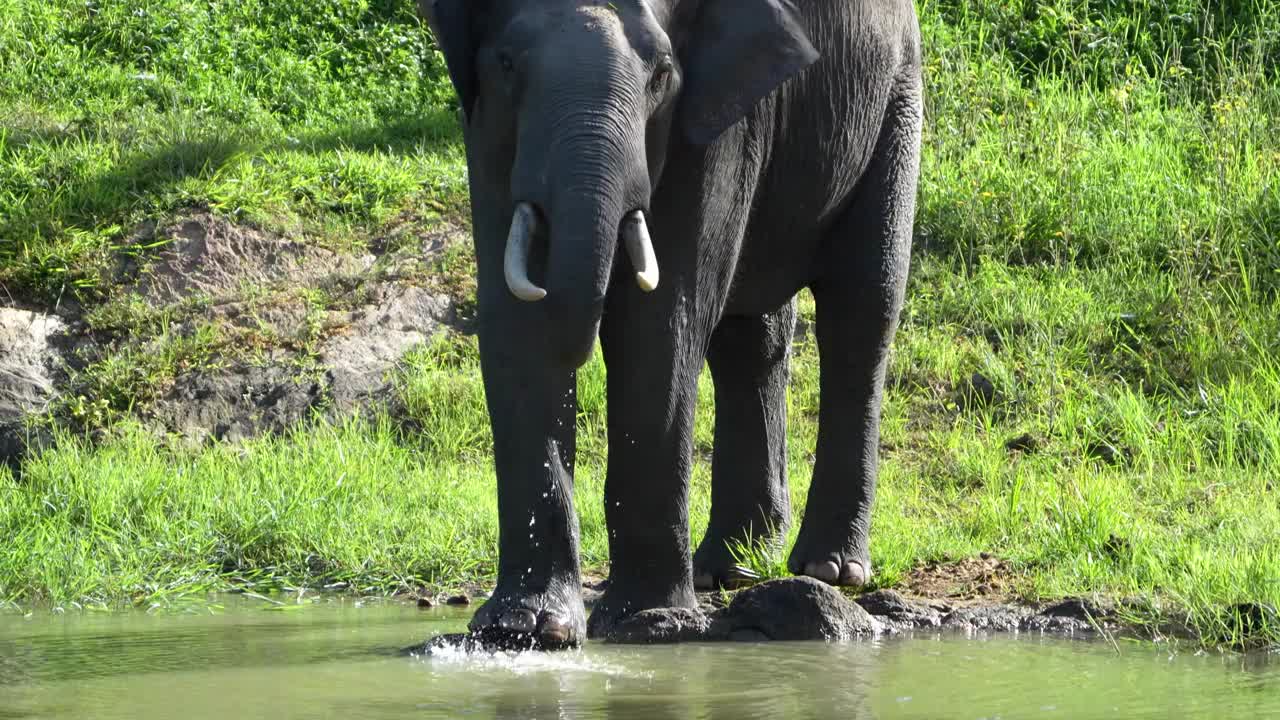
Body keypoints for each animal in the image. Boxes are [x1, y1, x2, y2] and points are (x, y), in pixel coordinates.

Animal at [419, 0, 921, 648]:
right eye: (505, 64)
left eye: (661, 73)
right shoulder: (485, 127)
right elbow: (513, 319)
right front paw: (526, 630)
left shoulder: (714, 116)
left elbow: (664, 319)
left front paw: (643, 619)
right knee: (750, 339)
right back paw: (728, 570)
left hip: (896, 94)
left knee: (860, 312)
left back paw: (828, 570)